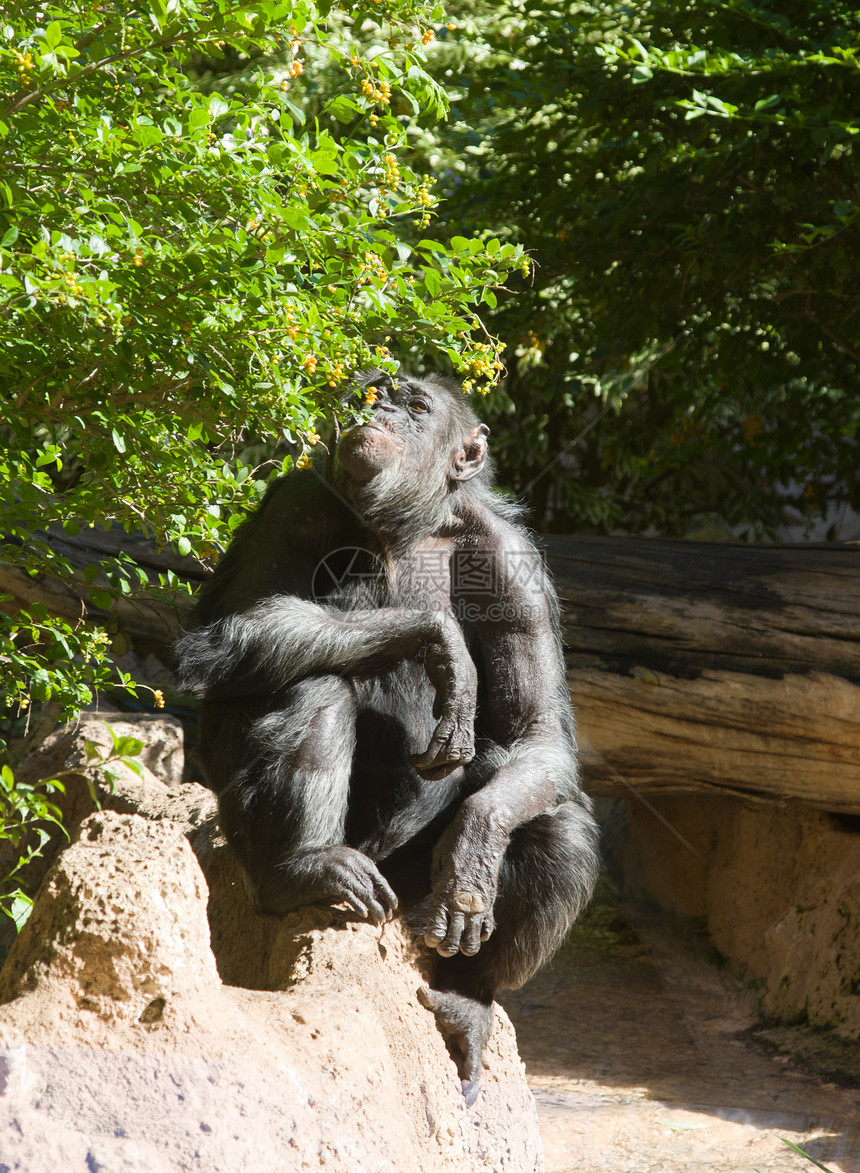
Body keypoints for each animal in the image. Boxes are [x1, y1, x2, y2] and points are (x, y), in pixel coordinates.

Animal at [175, 370, 596, 1102]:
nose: (385, 414)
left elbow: (536, 733)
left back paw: (466, 999)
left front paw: (471, 857)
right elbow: (233, 625)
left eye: (417, 406)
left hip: (405, 892)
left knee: (559, 830)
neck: (407, 525)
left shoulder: (511, 559)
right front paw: (435, 641)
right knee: (311, 685)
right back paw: (305, 869)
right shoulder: (296, 501)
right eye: (378, 393)